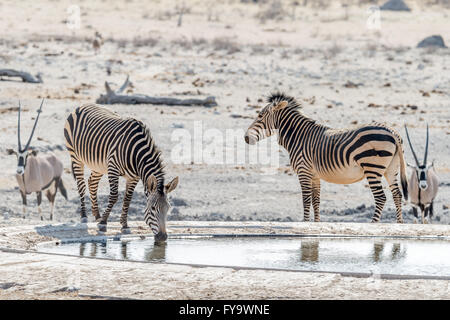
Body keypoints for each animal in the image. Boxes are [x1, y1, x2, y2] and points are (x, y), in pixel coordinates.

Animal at [64, 104, 178, 241]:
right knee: (81, 185)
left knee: (92, 183)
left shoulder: (133, 177)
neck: (136, 154)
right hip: (75, 156)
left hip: (99, 165)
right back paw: (84, 216)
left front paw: (124, 225)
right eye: (153, 208)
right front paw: (103, 223)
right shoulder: (113, 168)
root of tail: (83, 105)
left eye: (168, 208)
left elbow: (127, 199)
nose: (163, 237)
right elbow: (114, 196)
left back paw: (97, 215)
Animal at [246, 92, 408, 222]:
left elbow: (306, 199)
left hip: (372, 168)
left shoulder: (304, 171)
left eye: (260, 116)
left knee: (381, 198)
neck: (299, 136)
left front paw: (305, 222)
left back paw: (373, 224)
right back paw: (399, 224)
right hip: (391, 168)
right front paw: (316, 223)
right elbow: (316, 200)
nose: (246, 138)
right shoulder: (314, 175)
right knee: (397, 194)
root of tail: (392, 131)